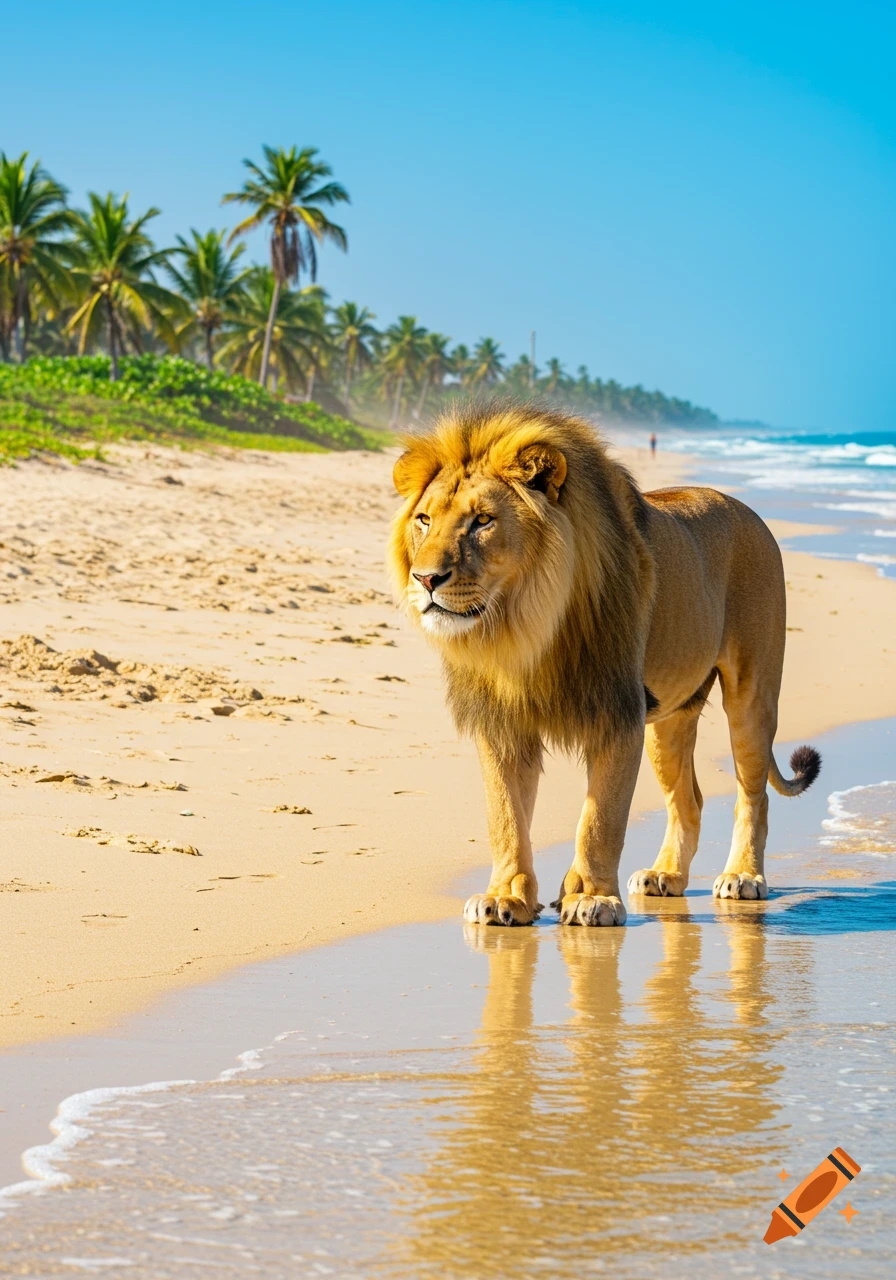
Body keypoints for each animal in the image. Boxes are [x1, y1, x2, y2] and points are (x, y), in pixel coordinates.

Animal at [389, 402, 820, 927]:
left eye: (482, 521)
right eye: (424, 520)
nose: (425, 579)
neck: (523, 629)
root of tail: (749, 511)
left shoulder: (618, 713)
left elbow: (600, 819)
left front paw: (591, 898)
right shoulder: (503, 723)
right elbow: (505, 817)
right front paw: (505, 898)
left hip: (750, 696)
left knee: (752, 795)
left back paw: (743, 876)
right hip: (668, 722)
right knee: (689, 800)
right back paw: (665, 876)